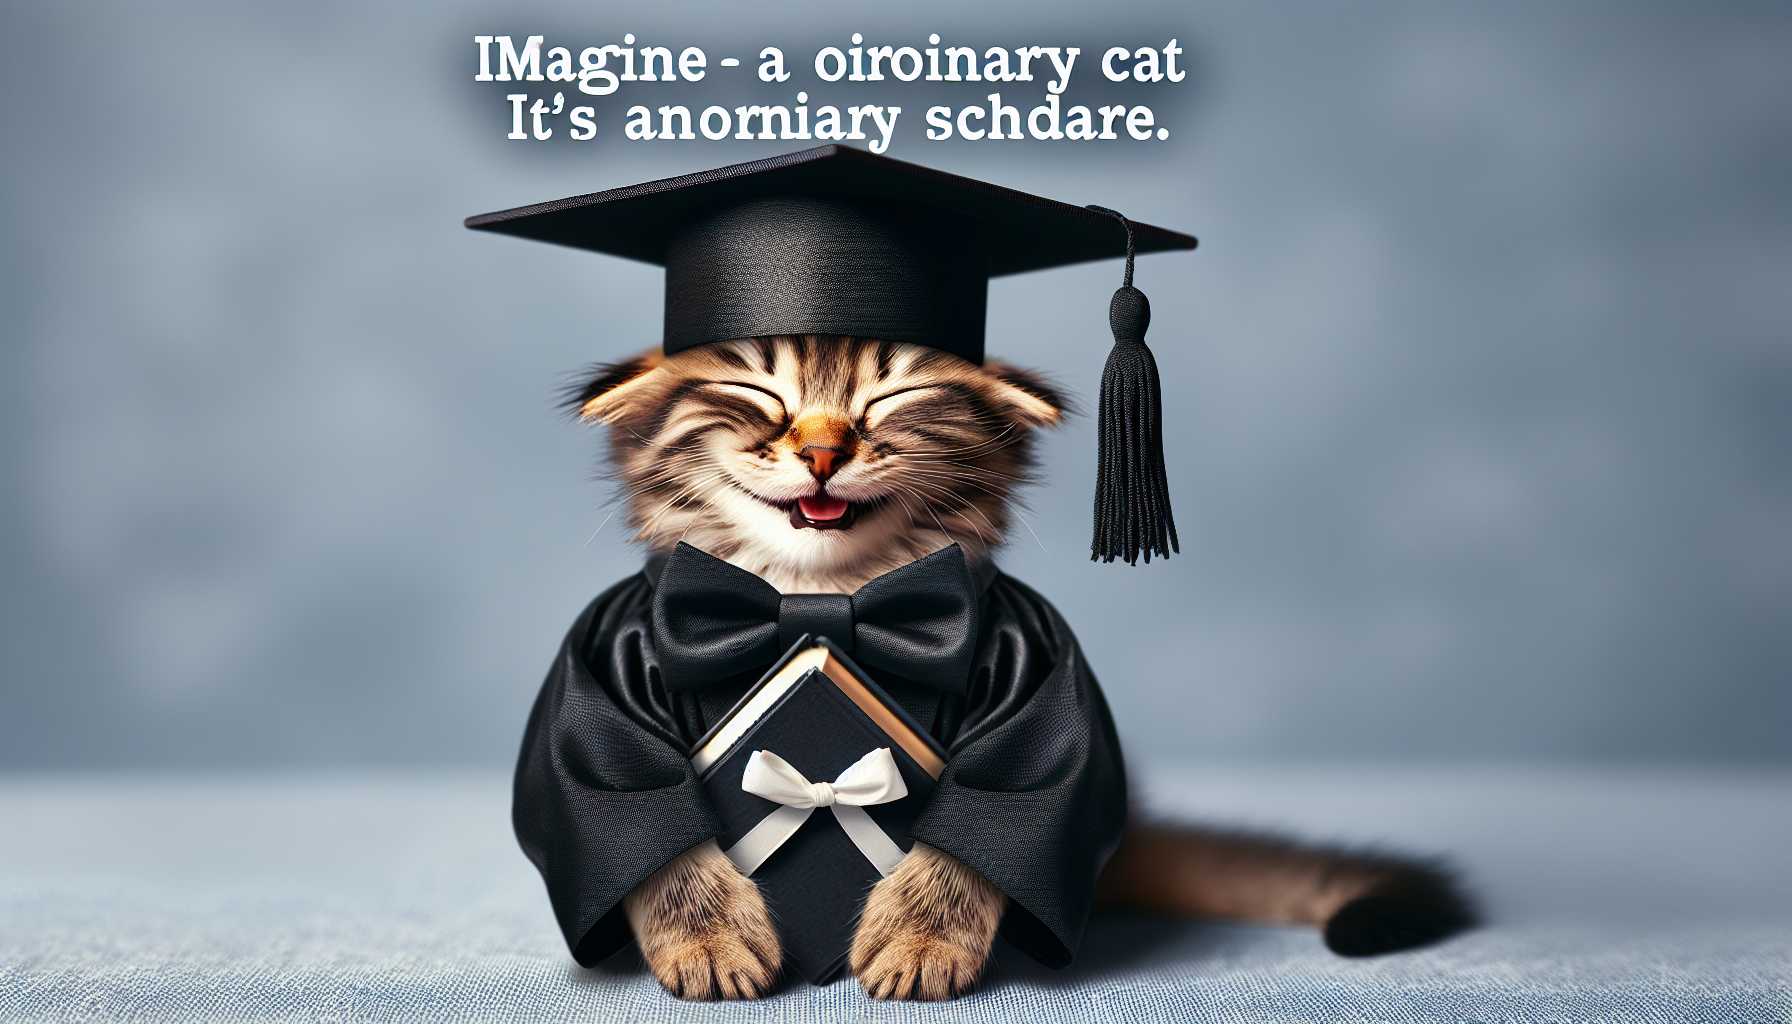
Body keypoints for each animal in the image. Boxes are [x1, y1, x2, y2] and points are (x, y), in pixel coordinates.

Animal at [569, 335, 1469, 1004]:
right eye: (754, 391)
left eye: (892, 398)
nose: (823, 452)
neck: (819, 597)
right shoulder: (606, 672)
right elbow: (638, 812)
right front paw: (708, 936)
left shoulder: (1038, 677)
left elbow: (999, 811)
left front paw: (922, 936)